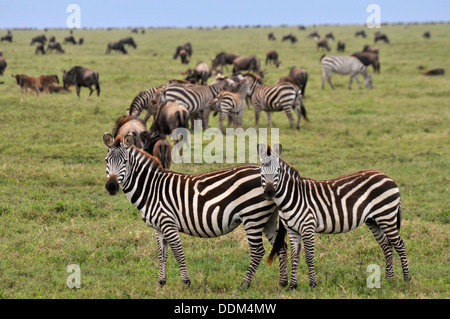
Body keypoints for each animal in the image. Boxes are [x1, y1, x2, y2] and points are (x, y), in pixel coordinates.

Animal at [102, 134, 288, 288]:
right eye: (106, 161)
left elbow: (178, 253)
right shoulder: (159, 227)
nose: (111, 186)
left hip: (252, 216)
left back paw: (244, 284)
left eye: (125, 162)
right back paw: (282, 283)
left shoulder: (168, 223)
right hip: (268, 219)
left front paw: (186, 282)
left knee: (258, 251)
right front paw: (161, 282)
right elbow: (162, 254)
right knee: (281, 246)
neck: (151, 188)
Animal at [258, 143, 414, 290]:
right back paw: (389, 280)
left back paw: (406, 279)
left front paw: (312, 285)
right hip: (374, 220)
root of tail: (387, 176)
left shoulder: (308, 226)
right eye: (261, 171)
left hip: (386, 216)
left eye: (278, 171)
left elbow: (309, 257)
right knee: (387, 246)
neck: (292, 196)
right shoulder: (292, 230)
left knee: (399, 244)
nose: (269, 192)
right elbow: (295, 257)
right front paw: (292, 286)